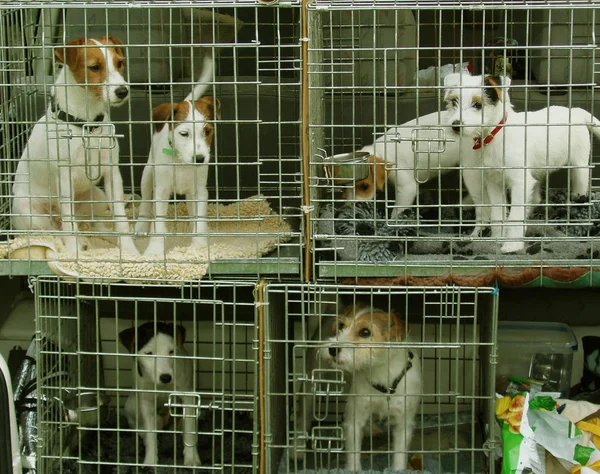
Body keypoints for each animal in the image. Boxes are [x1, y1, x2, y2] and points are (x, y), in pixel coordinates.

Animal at [11, 37, 138, 258]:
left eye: (120, 63)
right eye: (95, 67)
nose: (122, 91)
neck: (87, 125)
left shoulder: (112, 173)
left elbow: (120, 218)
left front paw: (130, 250)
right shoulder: (64, 178)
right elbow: (69, 225)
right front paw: (73, 252)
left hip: (98, 197)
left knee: (95, 225)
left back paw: (105, 237)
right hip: (28, 211)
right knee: (55, 230)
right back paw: (78, 242)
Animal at [119, 320, 202, 464]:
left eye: (171, 351)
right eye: (149, 353)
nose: (166, 378)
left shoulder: (188, 397)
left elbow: (189, 431)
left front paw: (191, 459)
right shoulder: (146, 401)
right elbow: (150, 434)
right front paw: (150, 461)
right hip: (131, 405)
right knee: (141, 426)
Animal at [134, 53, 220, 258]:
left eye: (207, 131)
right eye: (184, 134)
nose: (200, 158)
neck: (181, 162)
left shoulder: (199, 191)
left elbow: (199, 219)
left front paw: (199, 246)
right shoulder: (161, 191)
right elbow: (158, 223)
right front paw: (154, 250)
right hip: (148, 174)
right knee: (145, 202)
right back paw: (141, 225)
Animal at [292, 306, 422, 472]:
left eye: (365, 332)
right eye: (341, 326)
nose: (332, 350)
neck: (381, 373)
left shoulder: (403, 424)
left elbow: (399, 454)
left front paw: (399, 470)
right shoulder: (354, 421)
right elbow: (353, 453)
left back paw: (371, 428)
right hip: (311, 384)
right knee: (303, 417)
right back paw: (298, 449)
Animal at [442, 72, 600, 254]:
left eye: (478, 104)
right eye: (454, 101)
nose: (455, 126)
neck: (494, 135)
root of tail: (575, 111)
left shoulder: (519, 182)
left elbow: (515, 215)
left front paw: (512, 244)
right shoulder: (494, 183)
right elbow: (498, 213)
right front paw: (497, 238)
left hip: (579, 166)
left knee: (579, 187)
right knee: (535, 198)